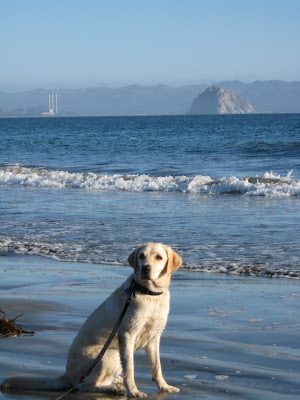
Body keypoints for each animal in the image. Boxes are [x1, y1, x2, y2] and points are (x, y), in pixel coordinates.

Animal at [1, 242, 183, 398]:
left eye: (158, 257)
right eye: (141, 256)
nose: (145, 268)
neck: (149, 293)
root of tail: (67, 375)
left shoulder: (154, 337)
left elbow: (157, 367)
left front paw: (164, 387)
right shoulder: (127, 335)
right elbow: (130, 369)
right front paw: (133, 391)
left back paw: (116, 382)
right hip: (110, 354)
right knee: (85, 386)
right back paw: (113, 388)